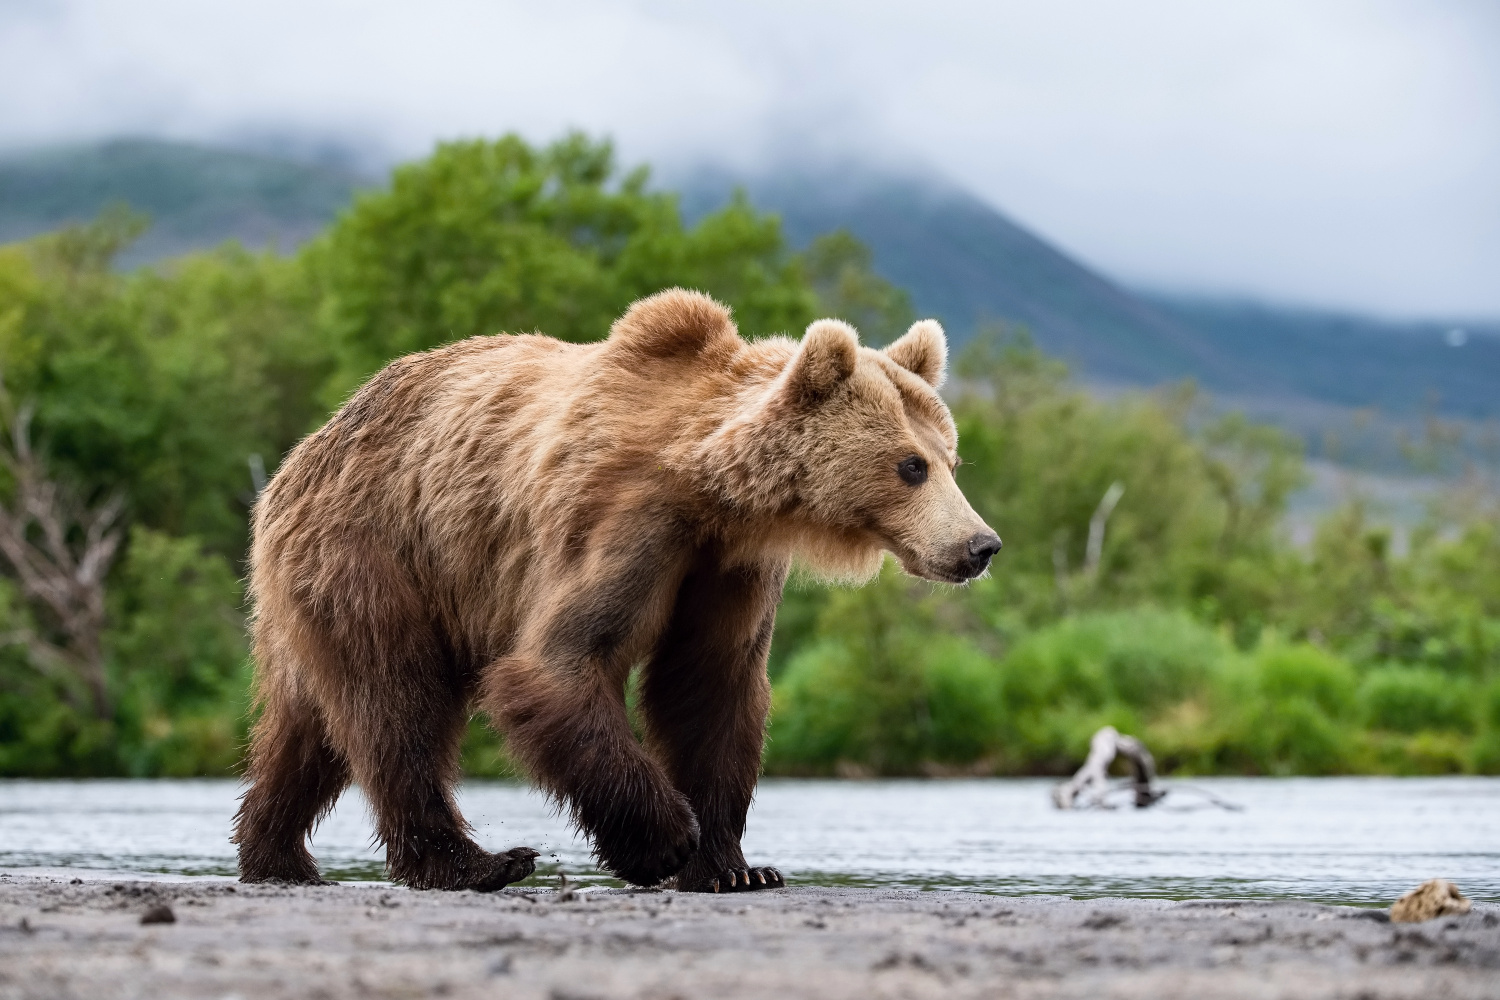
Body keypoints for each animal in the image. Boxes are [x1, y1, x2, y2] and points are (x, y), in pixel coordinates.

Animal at [234, 287, 1002, 893]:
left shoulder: (730, 567)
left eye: (952, 458)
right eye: (910, 465)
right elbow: (557, 664)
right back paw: (477, 862)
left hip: (318, 592)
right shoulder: (627, 522)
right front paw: (666, 841)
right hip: (380, 555)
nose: (980, 545)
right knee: (397, 706)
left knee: (308, 727)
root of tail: (298, 459)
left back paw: (276, 854)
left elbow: (711, 687)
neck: (713, 491)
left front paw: (736, 867)